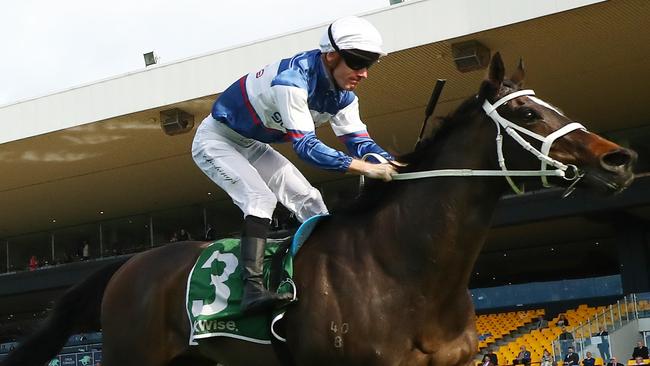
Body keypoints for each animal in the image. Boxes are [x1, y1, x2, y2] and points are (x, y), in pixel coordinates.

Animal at [2, 53, 636, 366]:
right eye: (527, 113)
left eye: (549, 104)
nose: (621, 158)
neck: (404, 270)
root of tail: (128, 264)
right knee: (259, 200)